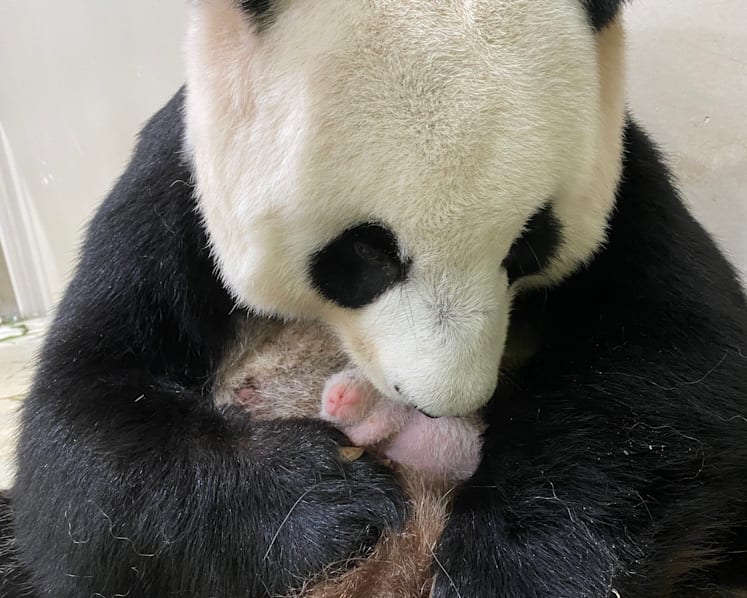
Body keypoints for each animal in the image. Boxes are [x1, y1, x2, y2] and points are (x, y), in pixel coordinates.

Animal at [2, 0, 747, 596]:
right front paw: (325, 496)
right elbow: (81, 429)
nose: (440, 404)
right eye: (365, 252)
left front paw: (503, 566)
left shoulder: (623, 171)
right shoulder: (178, 179)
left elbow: (671, 369)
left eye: (529, 244)